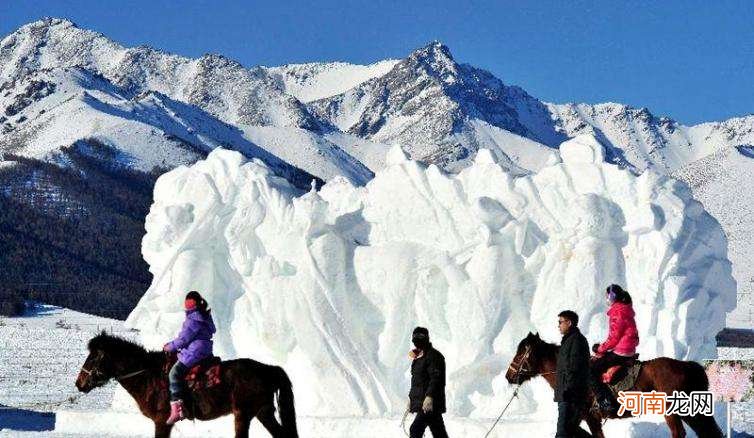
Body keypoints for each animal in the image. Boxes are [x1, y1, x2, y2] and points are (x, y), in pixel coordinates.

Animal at [75, 332, 296, 438]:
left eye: (93, 358)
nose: (79, 383)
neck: (148, 376)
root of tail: (268, 369)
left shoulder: (162, 421)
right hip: (263, 412)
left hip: (244, 414)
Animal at [502, 332, 720, 438]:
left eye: (521, 354)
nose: (509, 376)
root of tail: (687, 365)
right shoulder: (585, 418)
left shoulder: (588, 416)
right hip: (691, 412)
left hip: (672, 411)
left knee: (679, 433)